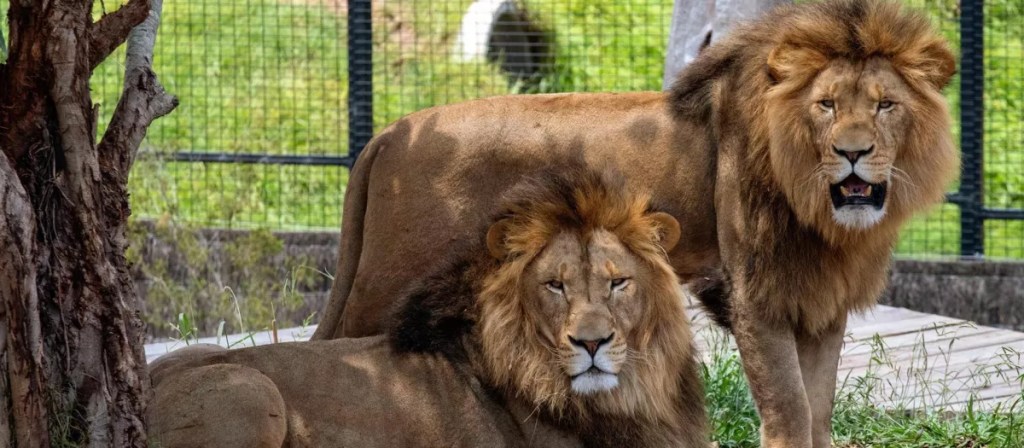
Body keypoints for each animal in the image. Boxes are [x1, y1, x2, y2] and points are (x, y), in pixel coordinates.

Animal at [311, 1, 957, 446]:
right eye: (826, 105)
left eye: (885, 105)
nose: (853, 152)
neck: (818, 209)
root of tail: (387, 136)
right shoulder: (755, 296)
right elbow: (791, 409)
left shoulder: (820, 302)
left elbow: (818, 412)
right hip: (384, 284)